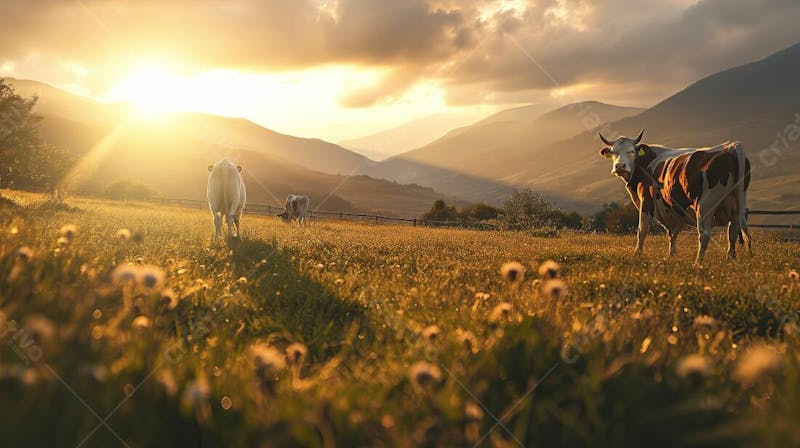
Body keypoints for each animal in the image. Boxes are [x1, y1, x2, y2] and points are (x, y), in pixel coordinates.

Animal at [596, 130, 752, 262]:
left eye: (631, 151)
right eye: (613, 152)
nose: (619, 166)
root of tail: (731, 147)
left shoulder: (646, 201)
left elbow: (642, 230)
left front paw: (637, 255)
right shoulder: (671, 212)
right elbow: (672, 234)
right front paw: (671, 256)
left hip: (705, 205)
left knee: (705, 234)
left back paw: (698, 262)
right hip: (736, 204)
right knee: (732, 232)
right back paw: (730, 259)